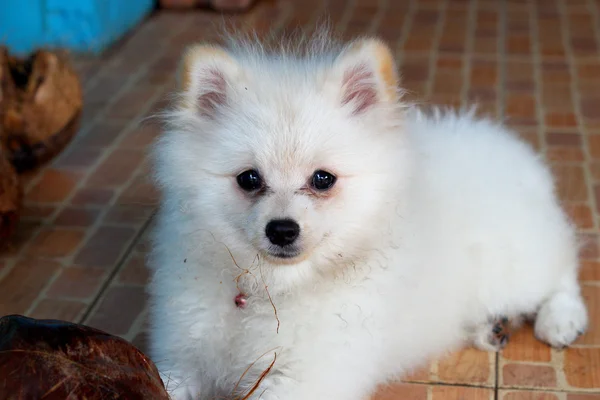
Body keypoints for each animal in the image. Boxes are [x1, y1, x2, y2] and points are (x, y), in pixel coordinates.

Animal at [148, 33, 588, 400]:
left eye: (322, 179)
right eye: (249, 179)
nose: (282, 230)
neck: (271, 287)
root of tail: (520, 156)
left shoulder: (309, 375)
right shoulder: (183, 353)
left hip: (516, 263)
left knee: (563, 270)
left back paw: (559, 320)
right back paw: (491, 327)